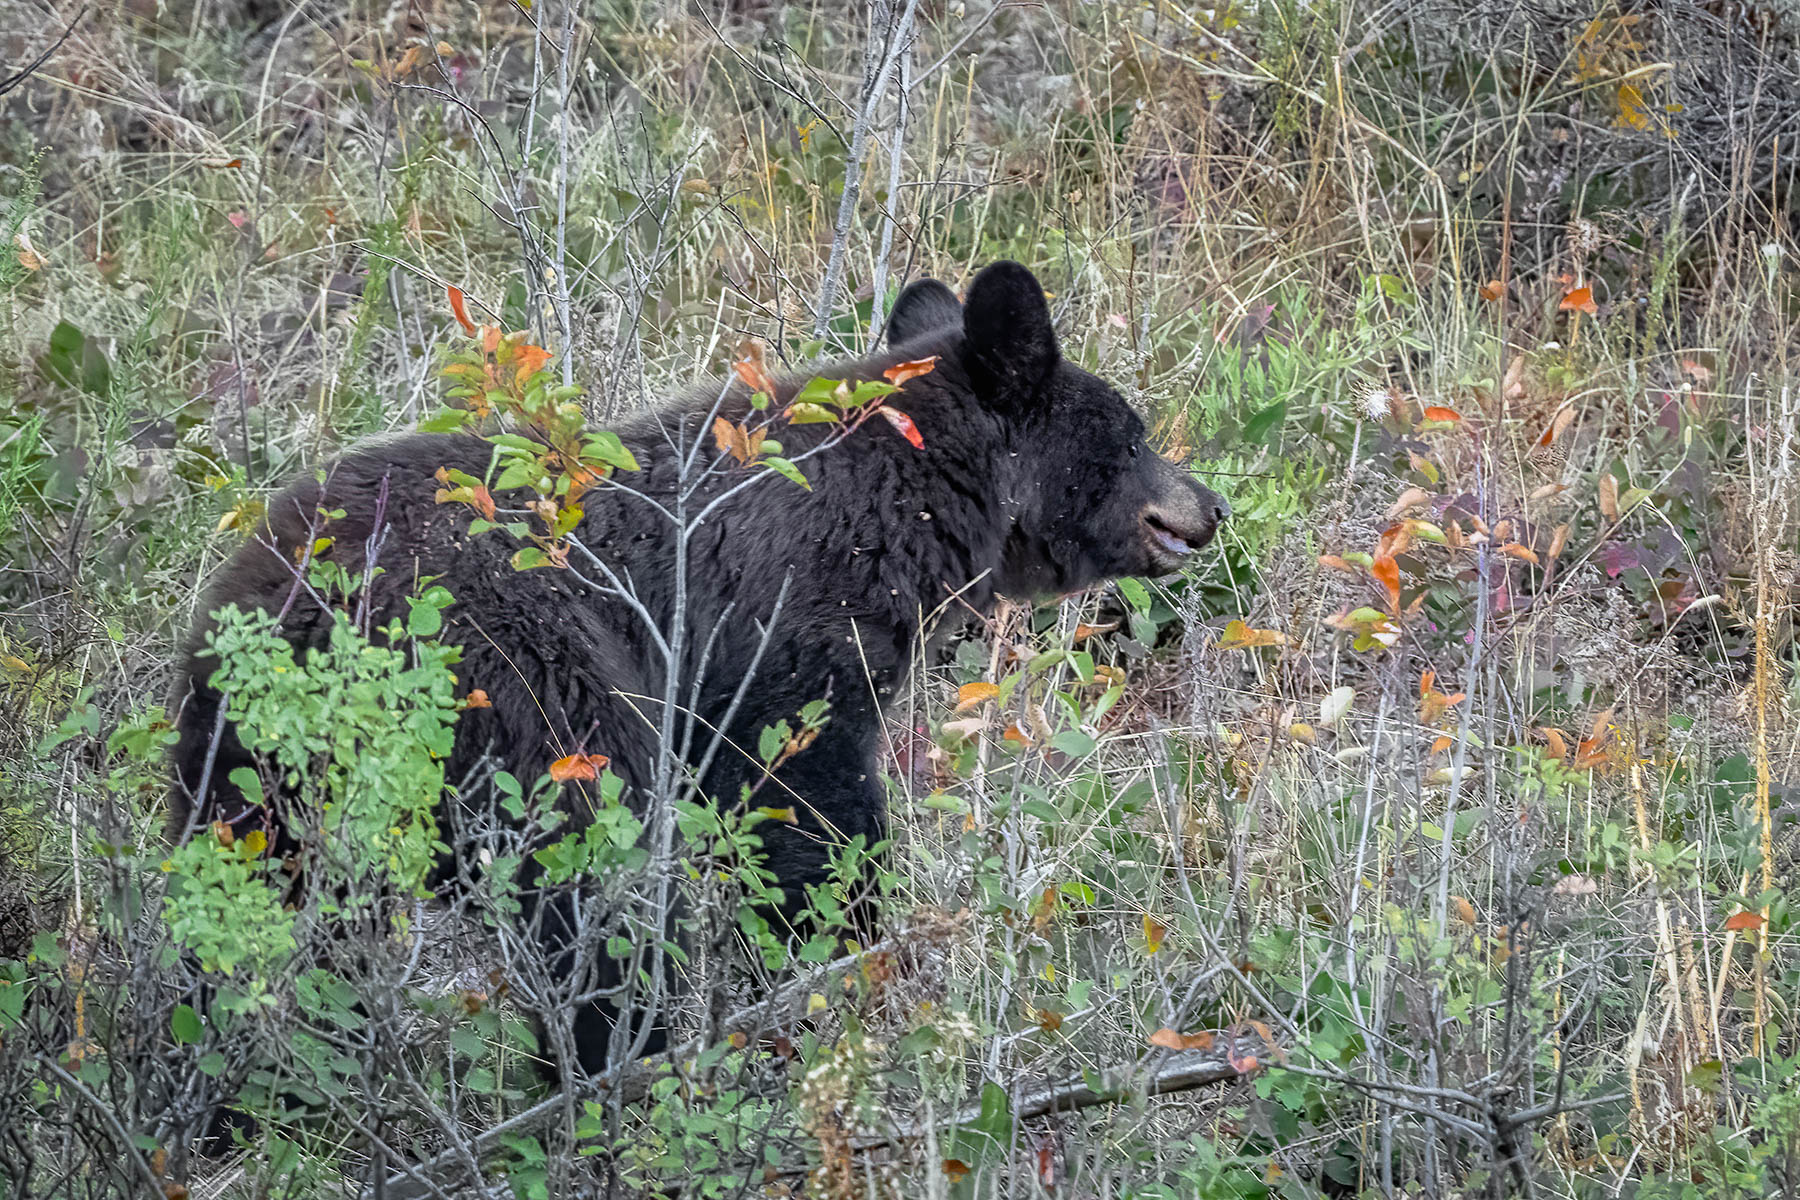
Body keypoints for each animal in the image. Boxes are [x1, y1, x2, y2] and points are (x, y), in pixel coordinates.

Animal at [169, 259, 1231, 1072]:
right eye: (1133, 434)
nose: (1210, 505)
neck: (917, 505)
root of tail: (308, 602)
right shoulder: (789, 630)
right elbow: (805, 801)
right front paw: (844, 963)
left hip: (241, 756)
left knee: (243, 901)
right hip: (522, 681)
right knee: (596, 885)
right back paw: (613, 1064)